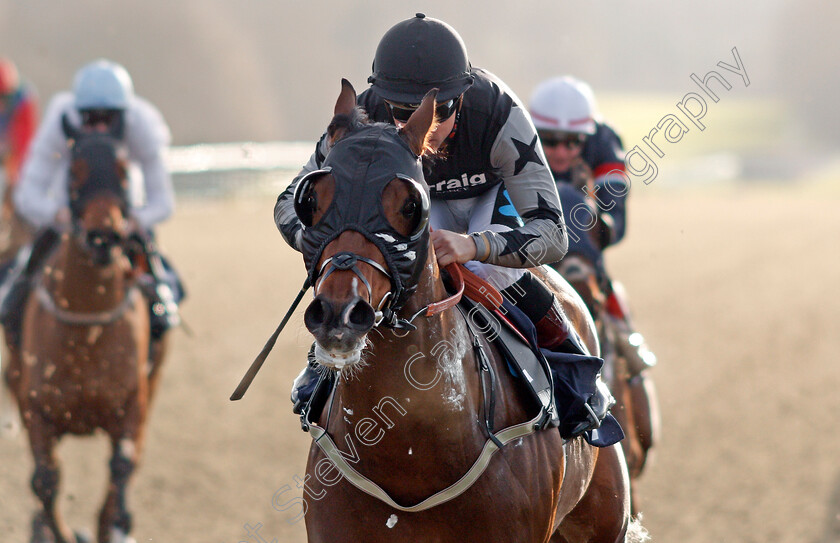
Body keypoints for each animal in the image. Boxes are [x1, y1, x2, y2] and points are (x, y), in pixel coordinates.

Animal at [2, 123, 164, 543]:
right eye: (73, 171)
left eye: (124, 171)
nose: (103, 237)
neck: (87, 327)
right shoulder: (36, 409)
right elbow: (45, 481)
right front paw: (55, 529)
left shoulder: (132, 405)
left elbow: (122, 468)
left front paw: (116, 524)